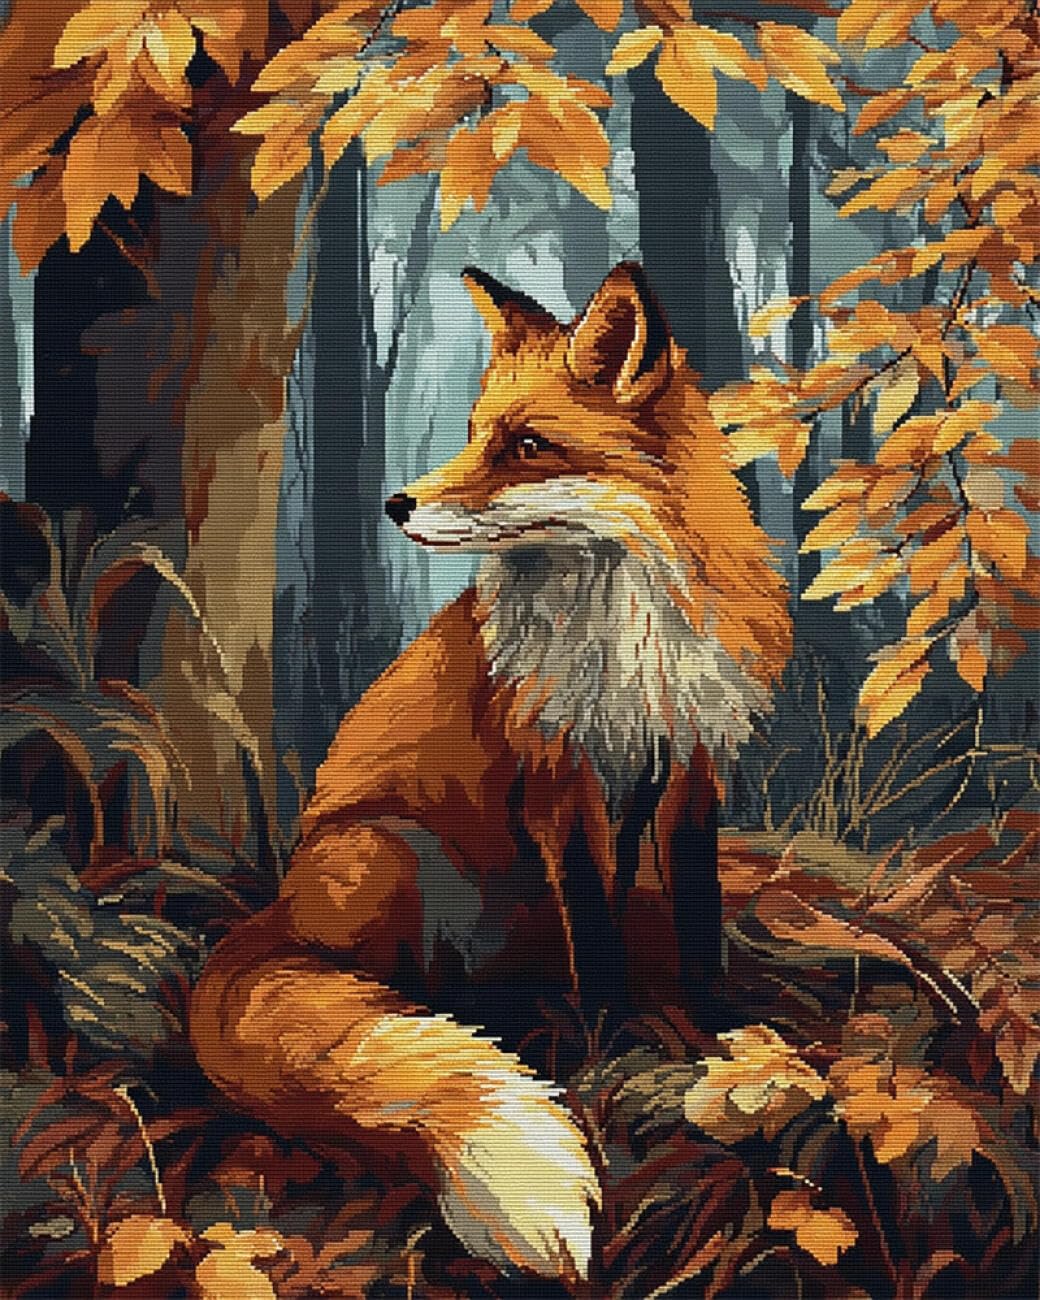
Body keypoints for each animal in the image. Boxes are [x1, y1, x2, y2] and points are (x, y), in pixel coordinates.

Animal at [190, 262, 792, 1283]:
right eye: (475, 431)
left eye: (527, 445)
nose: (396, 505)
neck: (623, 634)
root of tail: (271, 914)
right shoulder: (558, 787)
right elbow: (597, 942)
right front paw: (611, 1049)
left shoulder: (687, 774)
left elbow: (697, 920)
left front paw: (715, 1031)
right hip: (385, 852)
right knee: (392, 990)